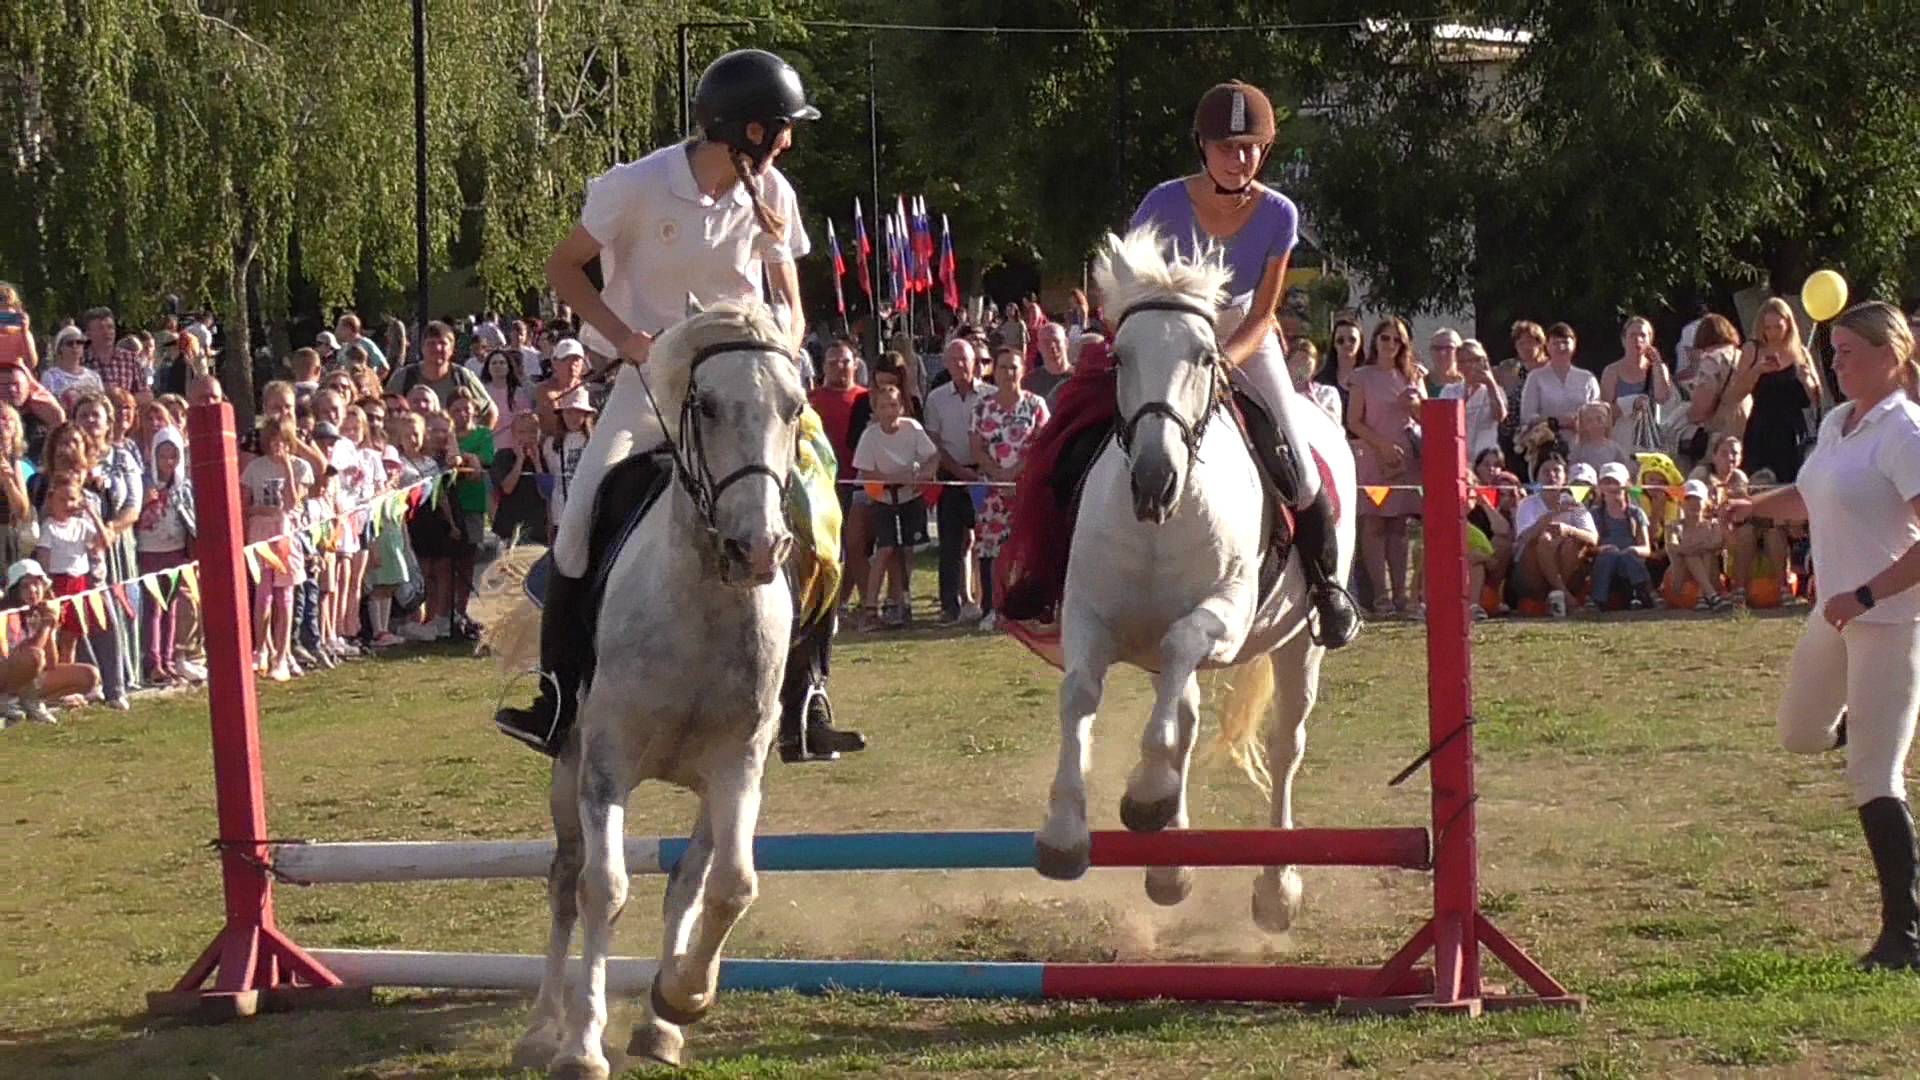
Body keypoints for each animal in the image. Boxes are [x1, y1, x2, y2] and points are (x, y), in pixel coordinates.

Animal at [514, 297, 806, 1068]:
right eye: (705, 405)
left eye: (794, 406)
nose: (757, 548)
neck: (703, 601)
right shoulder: (605, 765)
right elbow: (603, 889)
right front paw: (582, 1047)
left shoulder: (738, 765)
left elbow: (730, 886)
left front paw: (681, 997)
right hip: (567, 767)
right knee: (564, 882)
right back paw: (541, 1028)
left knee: (687, 882)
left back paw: (658, 1023)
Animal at [1036, 224, 1367, 926]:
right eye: (1120, 358)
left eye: (1205, 357)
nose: (1154, 479)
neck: (1161, 523)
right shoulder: (1088, 616)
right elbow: (1080, 695)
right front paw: (1065, 832)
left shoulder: (1226, 614)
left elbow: (1184, 645)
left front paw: (1146, 795)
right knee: (1183, 714)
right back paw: (1170, 866)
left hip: (1298, 645)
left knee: (1284, 744)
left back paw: (1274, 890)